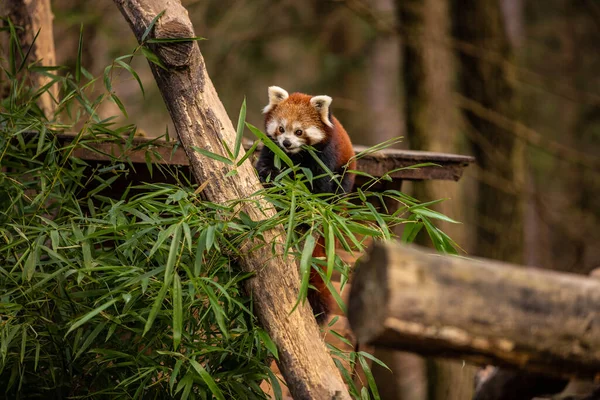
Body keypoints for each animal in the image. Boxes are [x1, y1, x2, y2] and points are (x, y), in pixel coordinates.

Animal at [254, 86, 356, 324]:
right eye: (281, 128)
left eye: (299, 132)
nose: (286, 143)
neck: (296, 157)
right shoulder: (272, 150)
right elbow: (267, 166)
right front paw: (267, 176)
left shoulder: (324, 159)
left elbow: (318, 189)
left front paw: (306, 208)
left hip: (345, 176)